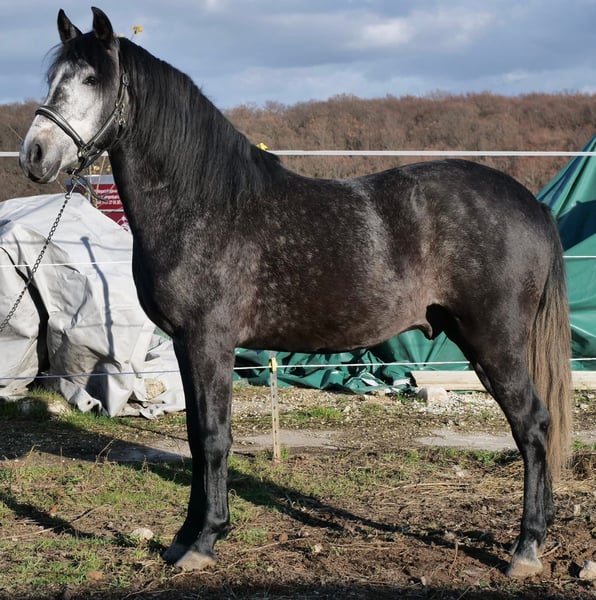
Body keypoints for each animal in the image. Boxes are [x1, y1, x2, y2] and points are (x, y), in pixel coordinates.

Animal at [20, 7, 572, 579]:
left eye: (91, 79)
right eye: (53, 78)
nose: (34, 154)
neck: (203, 205)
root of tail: (529, 203)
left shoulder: (209, 342)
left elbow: (213, 437)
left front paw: (204, 540)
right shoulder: (187, 346)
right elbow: (195, 436)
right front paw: (183, 538)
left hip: (495, 343)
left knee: (533, 426)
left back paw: (525, 548)